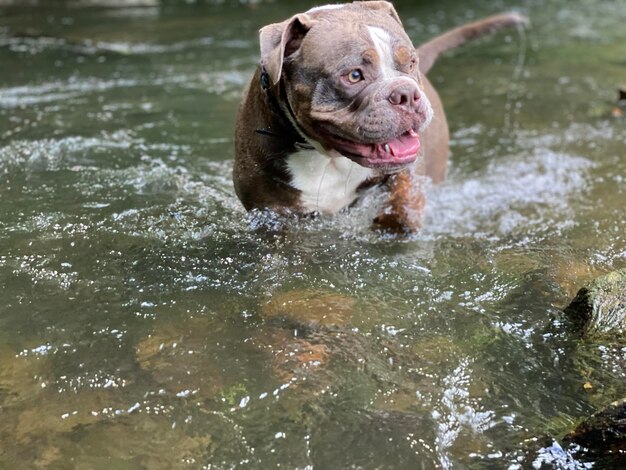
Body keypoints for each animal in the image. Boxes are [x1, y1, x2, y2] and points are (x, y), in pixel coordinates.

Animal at [232, 0, 524, 232]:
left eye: (411, 62)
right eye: (354, 75)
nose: (406, 93)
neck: (326, 156)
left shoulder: (406, 170)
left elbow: (402, 196)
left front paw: (395, 220)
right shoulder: (272, 211)